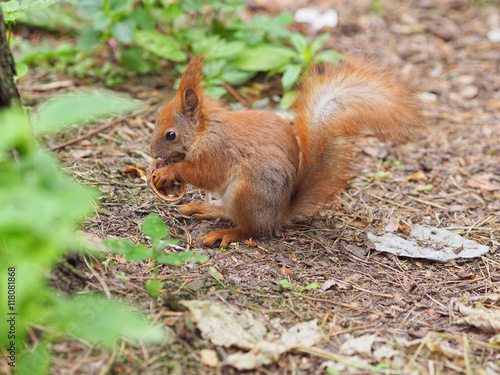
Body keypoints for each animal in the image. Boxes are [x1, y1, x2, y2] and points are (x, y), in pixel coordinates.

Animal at [149, 53, 426, 247]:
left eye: (170, 134)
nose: (152, 152)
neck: (205, 132)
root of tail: (279, 214)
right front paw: (159, 168)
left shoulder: (218, 151)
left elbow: (206, 174)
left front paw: (169, 172)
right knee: (230, 214)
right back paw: (207, 209)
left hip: (248, 192)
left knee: (251, 229)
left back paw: (224, 234)